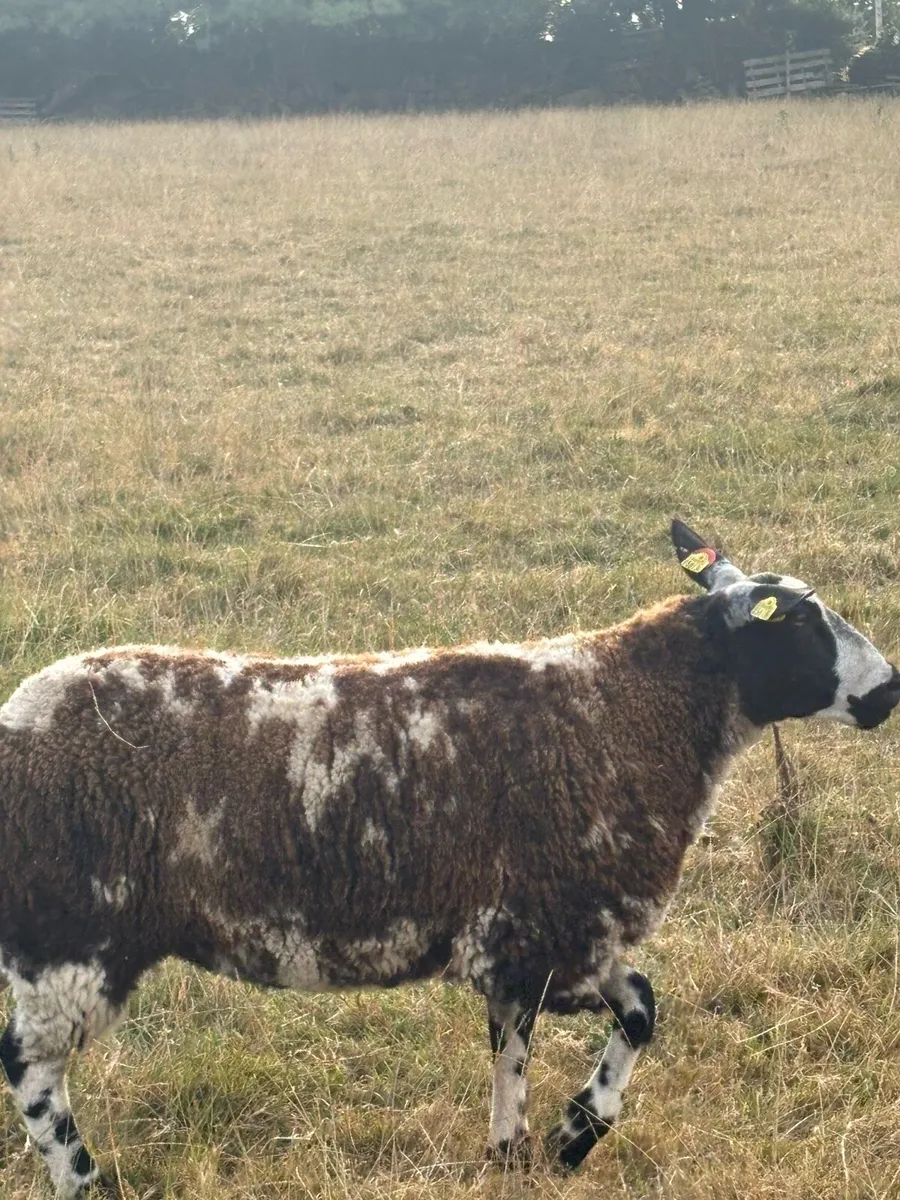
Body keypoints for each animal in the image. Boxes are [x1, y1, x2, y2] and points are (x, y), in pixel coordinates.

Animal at [1, 518, 898, 1198]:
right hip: (68, 935)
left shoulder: (548, 935)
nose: (888, 691)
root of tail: (14, 725)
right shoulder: (546, 932)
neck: (633, 715)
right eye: (801, 625)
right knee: (30, 1070)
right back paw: (82, 1180)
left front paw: (548, 1141)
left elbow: (607, 1020)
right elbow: (585, 1031)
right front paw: (557, 1137)